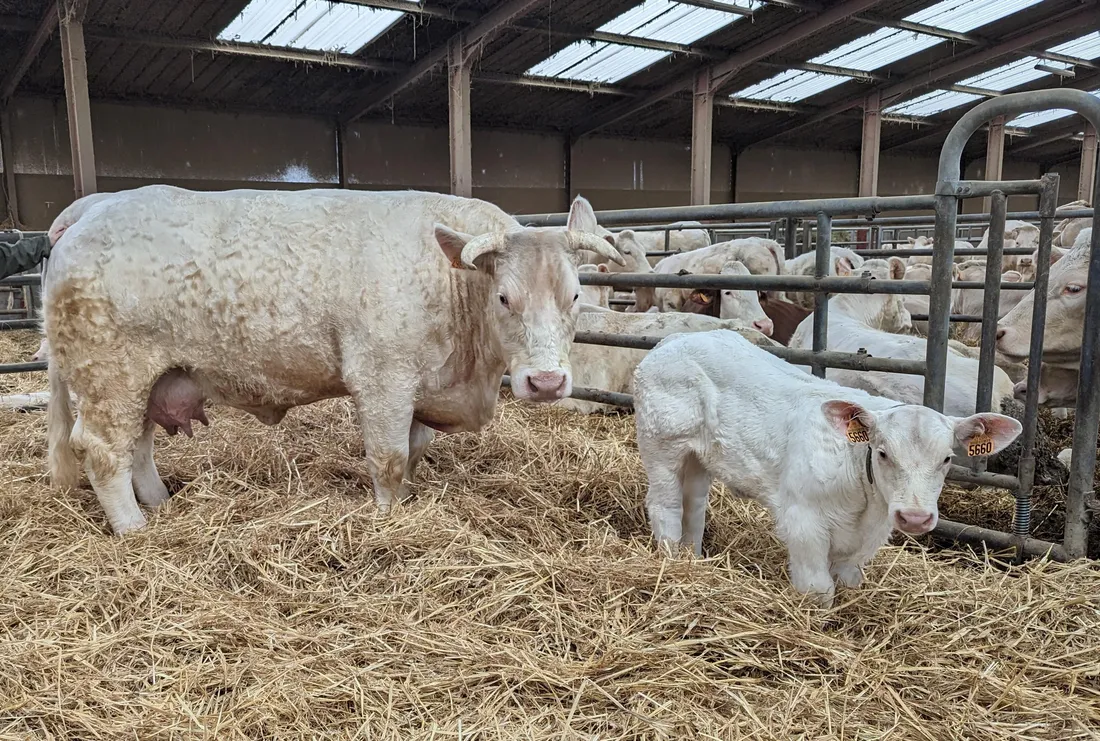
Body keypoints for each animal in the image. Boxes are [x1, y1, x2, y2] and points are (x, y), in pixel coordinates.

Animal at [44, 185, 625, 534]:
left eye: (575, 294)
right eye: (504, 297)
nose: (547, 382)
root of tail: (93, 207)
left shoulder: (420, 390)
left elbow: (413, 454)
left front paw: (406, 503)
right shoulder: (384, 379)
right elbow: (389, 459)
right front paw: (388, 521)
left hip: (148, 379)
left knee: (137, 448)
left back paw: (160, 504)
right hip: (108, 376)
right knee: (102, 452)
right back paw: (135, 530)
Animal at [634, 329, 1021, 607]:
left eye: (946, 458)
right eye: (883, 453)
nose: (914, 518)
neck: (863, 502)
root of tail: (675, 339)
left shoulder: (872, 535)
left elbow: (849, 582)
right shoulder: (803, 521)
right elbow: (819, 589)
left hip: (699, 457)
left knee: (694, 506)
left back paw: (692, 558)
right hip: (661, 444)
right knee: (665, 505)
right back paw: (671, 560)